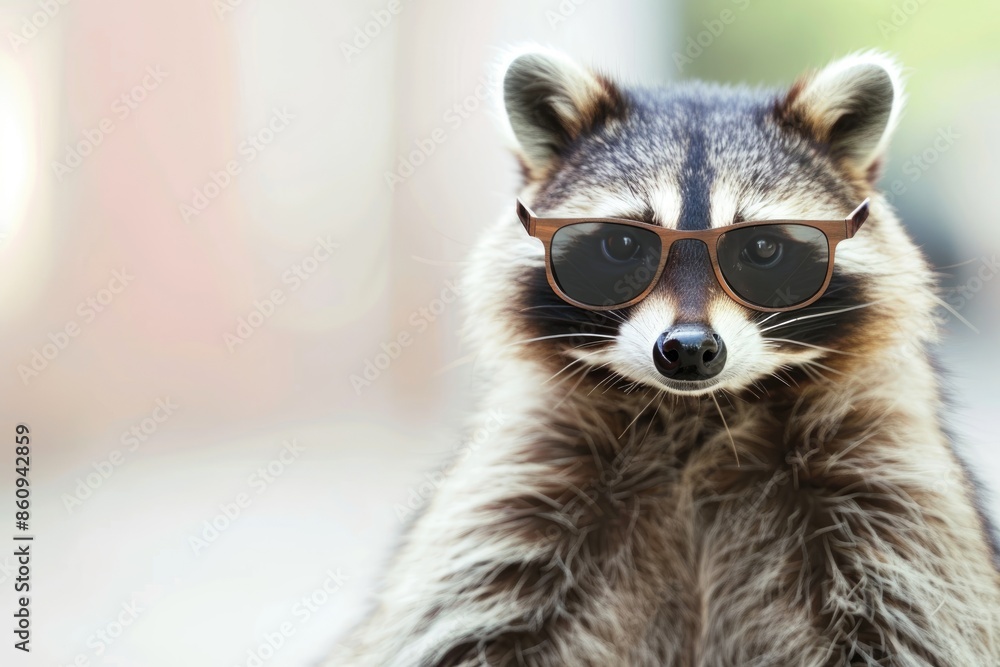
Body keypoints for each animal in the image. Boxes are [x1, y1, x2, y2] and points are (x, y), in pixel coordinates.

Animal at [332, 50, 1000, 666]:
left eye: (762, 249)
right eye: (622, 244)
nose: (689, 351)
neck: (699, 419)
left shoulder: (889, 494)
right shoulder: (521, 487)